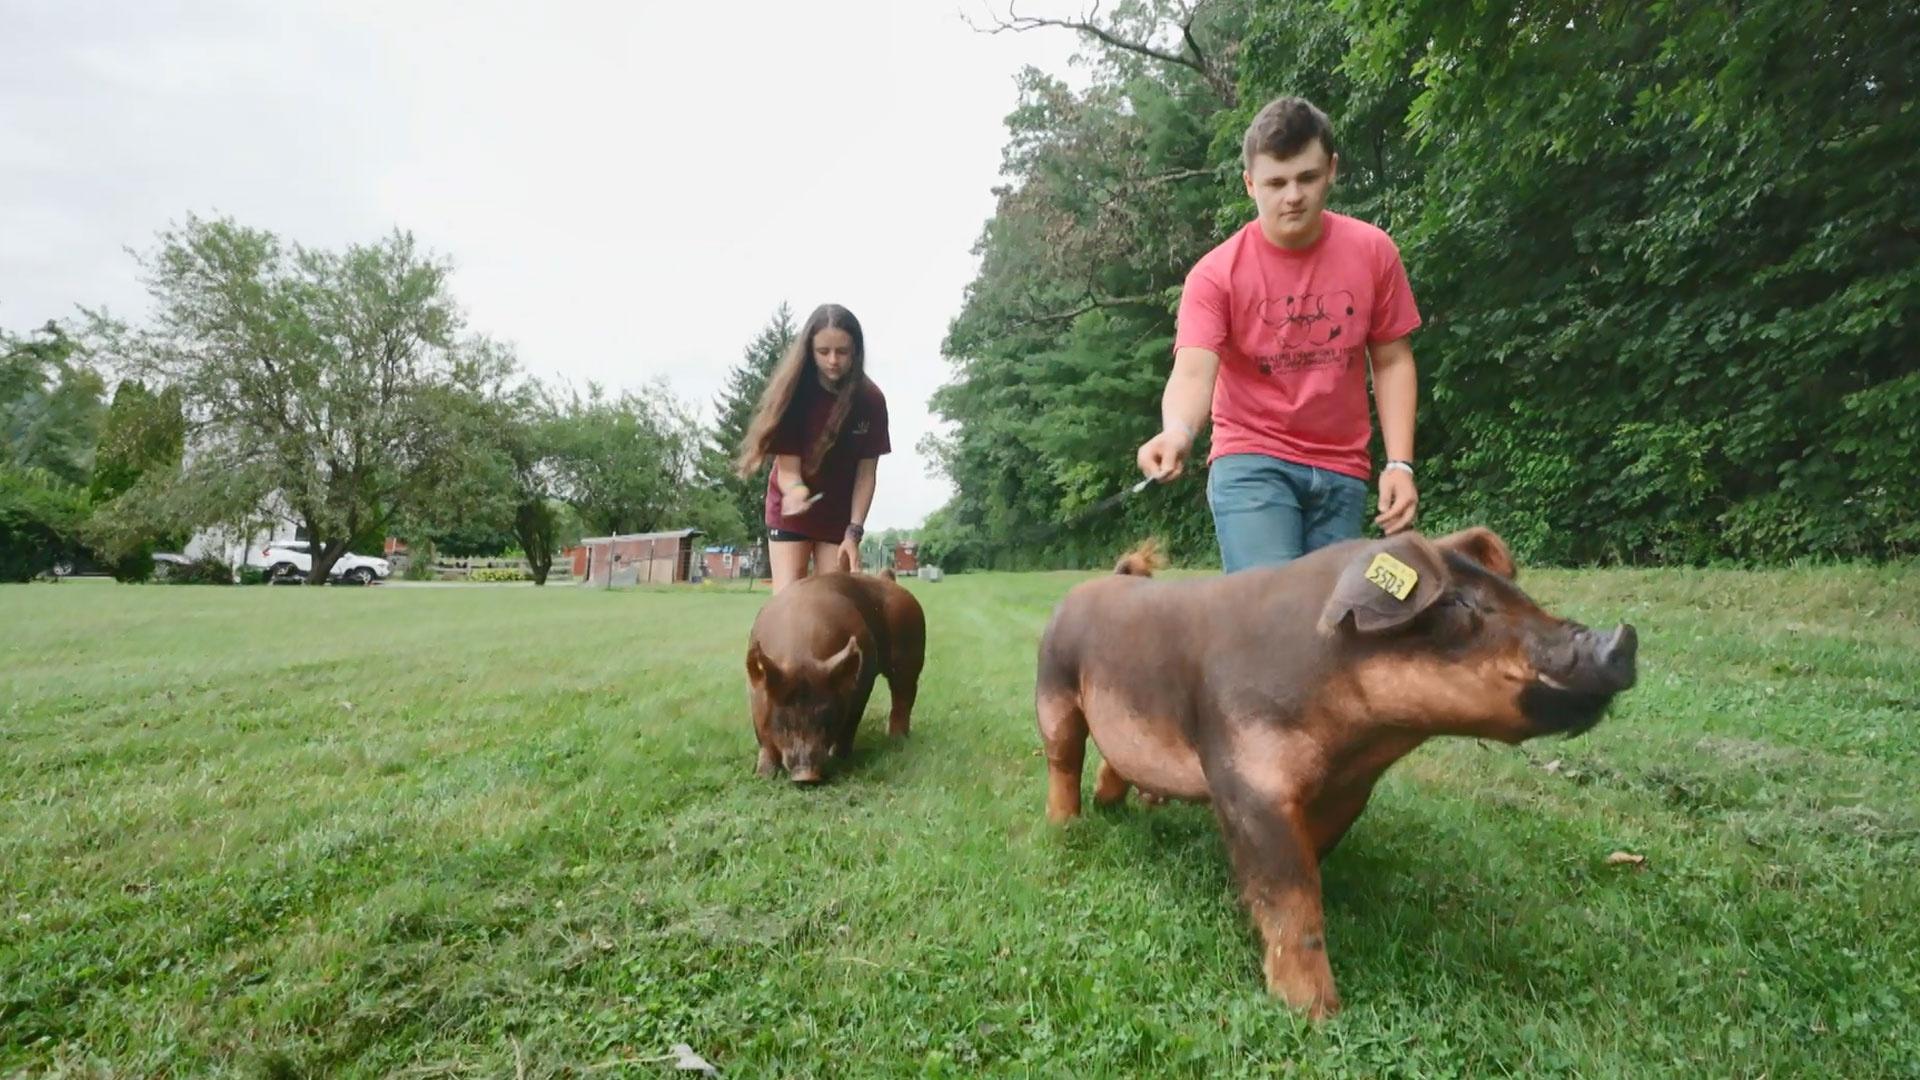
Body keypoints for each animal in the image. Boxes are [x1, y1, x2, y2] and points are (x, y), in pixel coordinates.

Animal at [744, 568, 925, 776]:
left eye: (826, 714)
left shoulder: (862, 683)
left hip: (911, 652)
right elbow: (764, 741)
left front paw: (840, 759)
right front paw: (763, 775)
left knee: (903, 696)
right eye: (782, 718)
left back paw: (897, 740)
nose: (806, 775)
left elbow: (850, 724)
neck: (800, 656)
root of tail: (886, 578)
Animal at [1036, 530, 1635, 1014]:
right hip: (1053, 690)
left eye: (1523, 598)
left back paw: (1117, 806)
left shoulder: (1350, 790)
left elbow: (1304, 865)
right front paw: (1316, 1014)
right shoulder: (1248, 777)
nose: (1623, 639)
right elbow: (1293, 896)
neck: (1358, 740)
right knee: (1063, 759)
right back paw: (1066, 826)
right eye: (1460, 603)